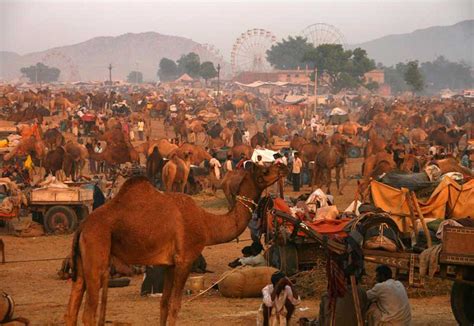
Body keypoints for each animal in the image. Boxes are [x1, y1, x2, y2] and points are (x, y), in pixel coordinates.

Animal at [65, 162, 286, 326]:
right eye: (265, 170)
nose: (282, 165)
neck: (206, 224)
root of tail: (82, 226)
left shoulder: (170, 264)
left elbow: (164, 304)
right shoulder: (185, 260)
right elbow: (175, 306)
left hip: (83, 264)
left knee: (71, 310)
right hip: (97, 251)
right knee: (88, 314)